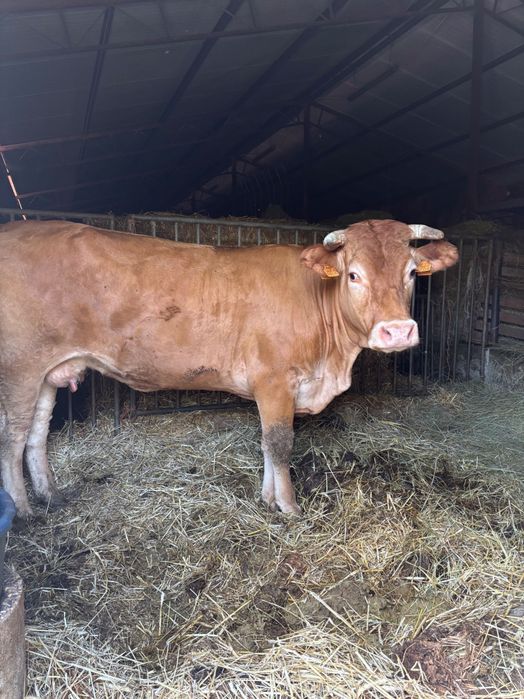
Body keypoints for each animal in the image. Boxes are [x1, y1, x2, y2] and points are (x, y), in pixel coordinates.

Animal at [0, 218, 458, 518]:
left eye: (412, 272)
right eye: (353, 275)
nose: (397, 331)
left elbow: (266, 444)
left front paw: (268, 499)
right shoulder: (274, 381)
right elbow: (280, 443)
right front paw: (289, 507)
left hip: (49, 372)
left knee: (37, 434)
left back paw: (51, 495)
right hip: (20, 367)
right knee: (13, 438)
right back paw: (24, 511)